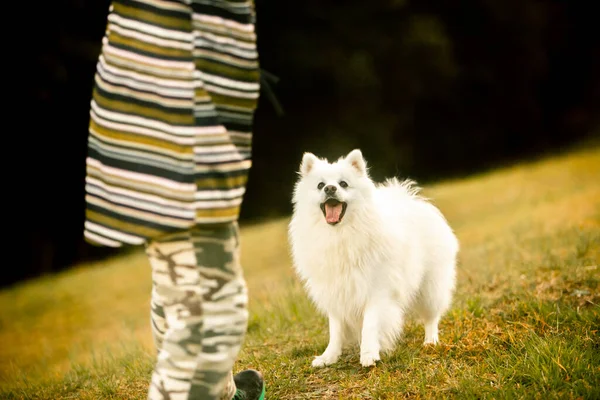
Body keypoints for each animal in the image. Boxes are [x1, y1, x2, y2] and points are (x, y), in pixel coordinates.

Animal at [288, 151, 458, 368]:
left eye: (343, 184)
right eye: (320, 185)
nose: (330, 188)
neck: (340, 236)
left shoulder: (377, 289)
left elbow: (369, 324)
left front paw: (369, 354)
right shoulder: (335, 292)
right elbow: (335, 330)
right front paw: (329, 357)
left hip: (430, 287)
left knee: (431, 317)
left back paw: (430, 341)